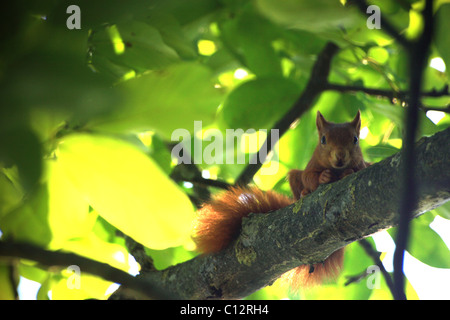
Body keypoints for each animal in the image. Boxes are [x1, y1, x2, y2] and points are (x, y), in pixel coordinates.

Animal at [192, 111, 370, 292]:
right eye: (323, 140)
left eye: (355, 139)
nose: (340, 156)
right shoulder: (311, 166)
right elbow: (309, 177)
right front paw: (323, 177)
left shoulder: (363, 165)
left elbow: (359, 168)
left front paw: (347, 172)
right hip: (294, 177)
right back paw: (305, 193)